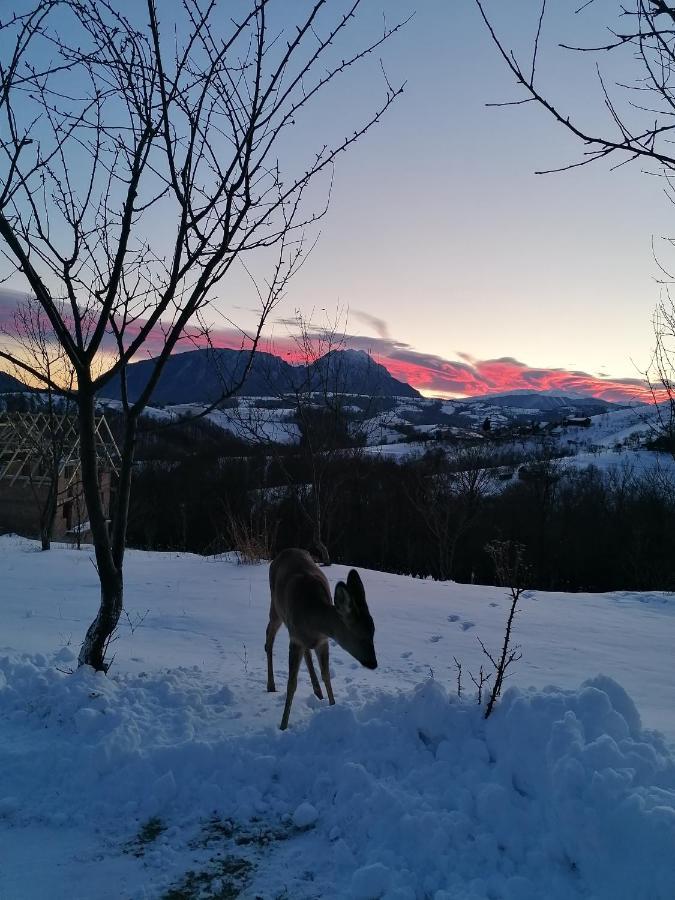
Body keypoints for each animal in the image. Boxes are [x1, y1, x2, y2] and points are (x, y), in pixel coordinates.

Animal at [266, 548, 378, 732]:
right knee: (269, 637)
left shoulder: (323, 641)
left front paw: (333, 707)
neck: (312, 615)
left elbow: (326, 675)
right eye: (359, 635)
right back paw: (270, 685)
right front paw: (283, 726)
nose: (373, 663)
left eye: (373, 633)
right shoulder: (295, 639)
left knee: (307, 653)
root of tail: (285, 551)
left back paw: (318, 691)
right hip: (276, 607)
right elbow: (292, 684)